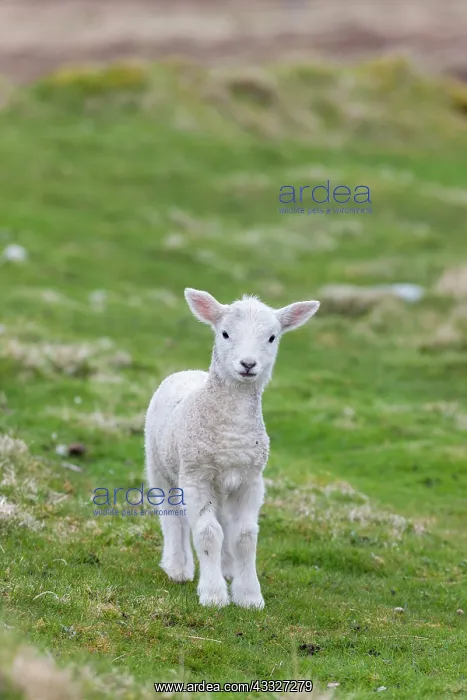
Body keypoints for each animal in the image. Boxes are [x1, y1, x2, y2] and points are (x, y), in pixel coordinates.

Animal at [144, 289, 320, 608]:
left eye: (272, 337)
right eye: (225, 333)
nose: (248, 364)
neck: (232, 427)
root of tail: (188, 371)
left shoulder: (250, 480)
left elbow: (245, 536)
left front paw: (249, 595)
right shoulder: (197, 476)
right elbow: (208, 532)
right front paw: (213, 594)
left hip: (223, 483)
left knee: (223, 520)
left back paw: (227, 568)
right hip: (160, 465)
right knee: (172, 516)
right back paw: (178, 567)